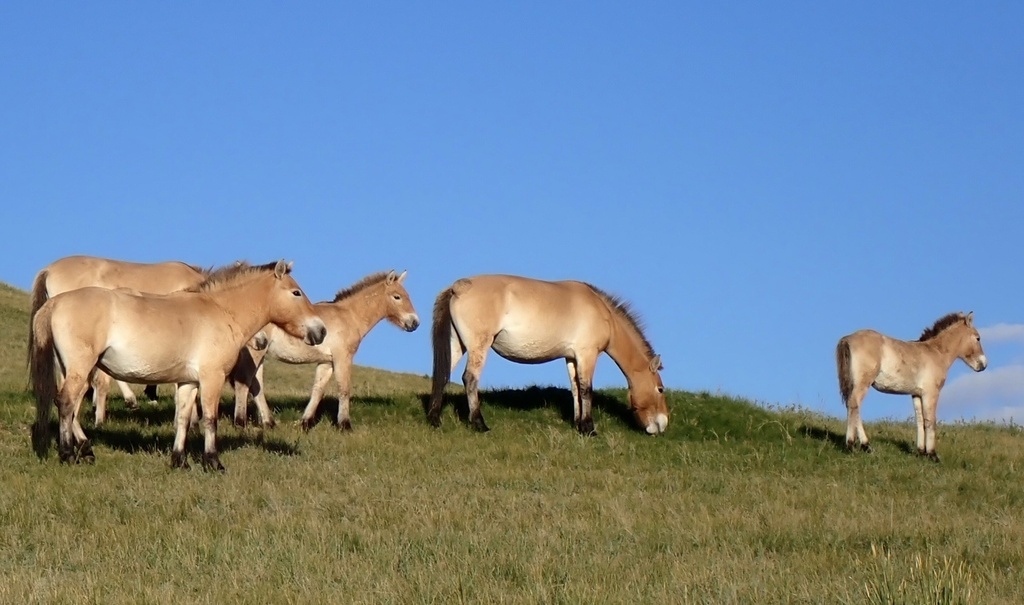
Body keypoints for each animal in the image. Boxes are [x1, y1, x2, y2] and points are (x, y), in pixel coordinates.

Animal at [231, 270, 420, 430]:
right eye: (397, 297)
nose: (415, 323)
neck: (350, 316)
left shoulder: (326, 362)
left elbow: (318, 391)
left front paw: (305, 423)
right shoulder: (343, 358)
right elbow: (344, 389)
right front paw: (345, 425)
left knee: (256, 384)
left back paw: (269, 423)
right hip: (255, 353)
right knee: (244, 382)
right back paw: (241, 423)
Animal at [425, 274, 668, 435]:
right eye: (660, 389)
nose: (662, 424)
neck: (601, 311)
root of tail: (459, 287)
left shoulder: (572, 358)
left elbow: (575, 390)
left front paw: (579, 425)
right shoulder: (587, 355)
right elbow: (587, 390)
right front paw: (589, 429)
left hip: (457, 345)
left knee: (442, 375)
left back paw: (434, 419)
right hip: (479, 346)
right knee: (470, 378)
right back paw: (479, 424)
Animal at [836, 311, 987, 462]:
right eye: (978, 338)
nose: (983, 365)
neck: (936, 353)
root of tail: (848, 338)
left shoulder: (917, 394)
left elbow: (920, 420)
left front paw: (921, 452)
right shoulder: (931, 393)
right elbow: (930, 421)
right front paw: (932, 455)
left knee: (854, 408)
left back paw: (866, 446)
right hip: (862, 383)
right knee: (854, 405)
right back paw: (851, 445)